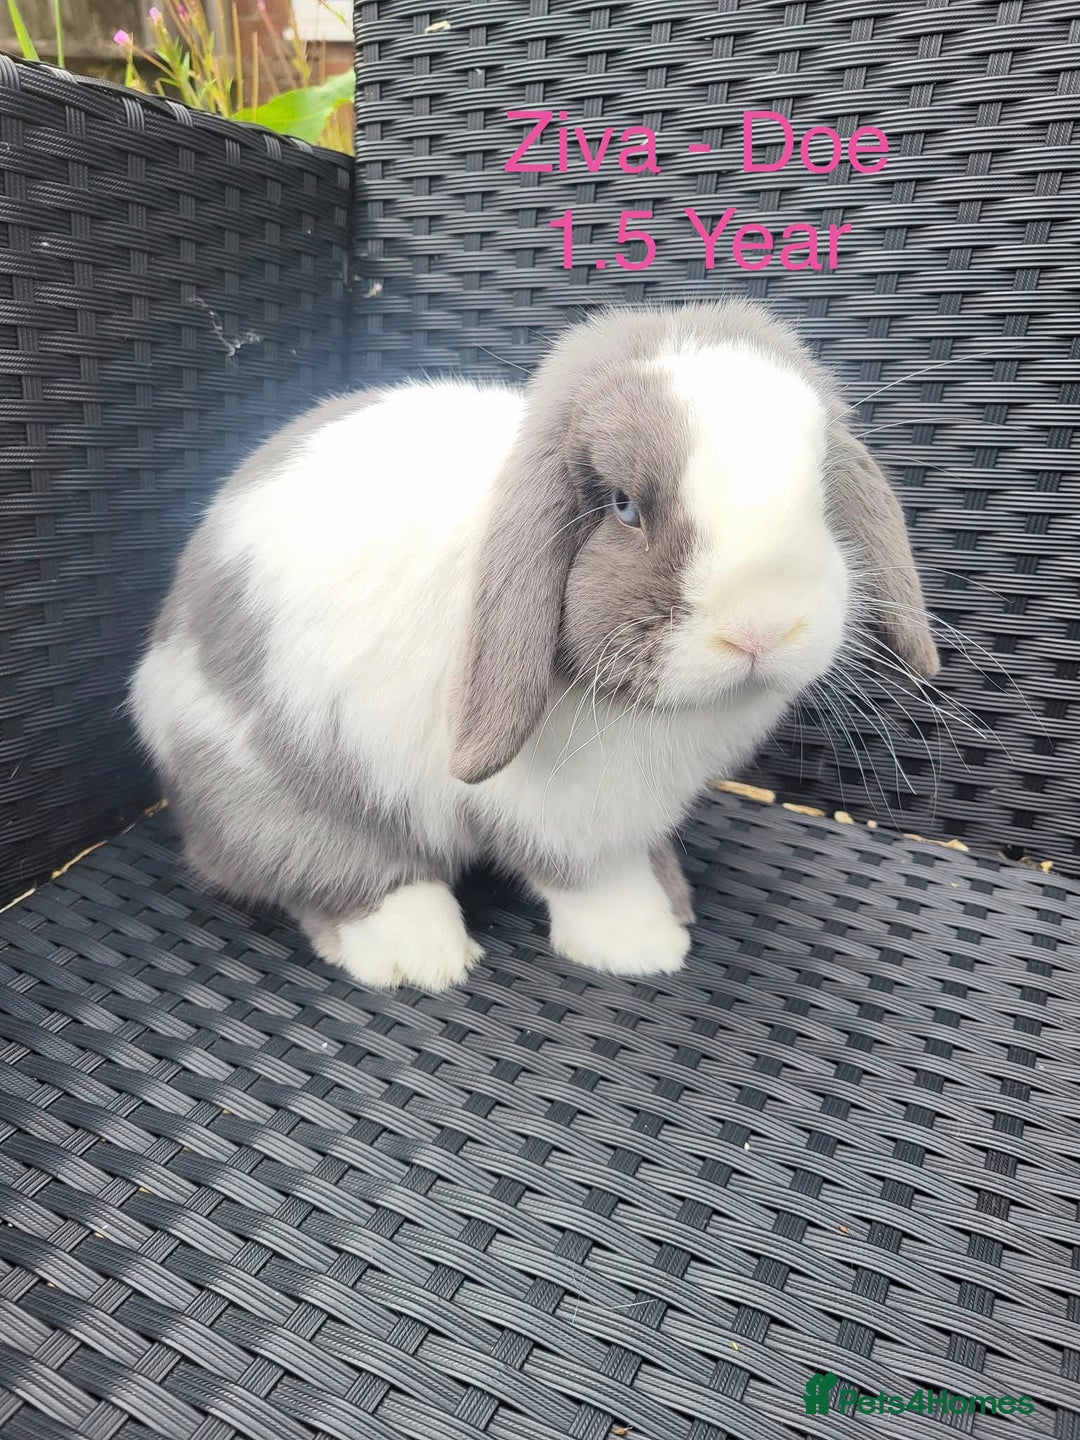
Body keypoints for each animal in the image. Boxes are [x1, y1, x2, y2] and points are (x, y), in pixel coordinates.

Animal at [130, 300, 939, 991]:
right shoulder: (564, 814)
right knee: (324, 868)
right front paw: (645, 943)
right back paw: (419, 956)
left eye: (821, 499)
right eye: (624, 506)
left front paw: (672, 899)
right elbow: (593, 876)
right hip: (278, 779)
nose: (760, 628)